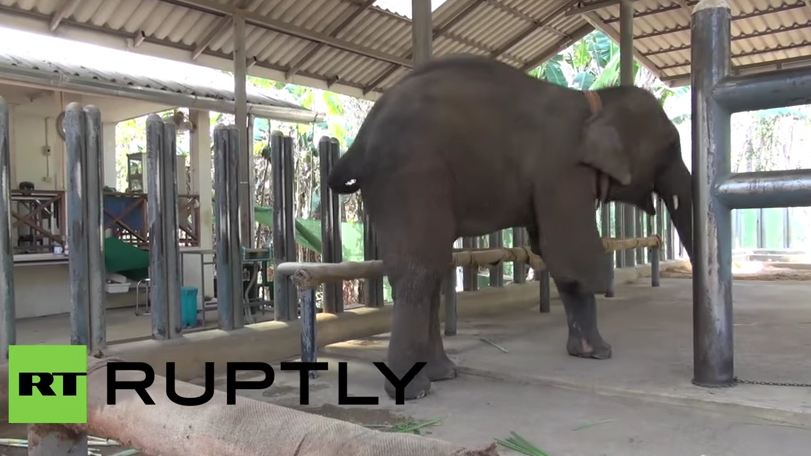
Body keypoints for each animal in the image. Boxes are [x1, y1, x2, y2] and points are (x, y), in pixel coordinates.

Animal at [326, 55, 696, 400]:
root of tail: (358, 143)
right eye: (671, 147)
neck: (594, 103)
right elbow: (571, 253)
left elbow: (550, 250)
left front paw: (592, 353)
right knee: (420, 270)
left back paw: (444, 373)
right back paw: (416, 390)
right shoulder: (562, 170)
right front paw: (601, 350)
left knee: (432, 267)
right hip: (411, 176)